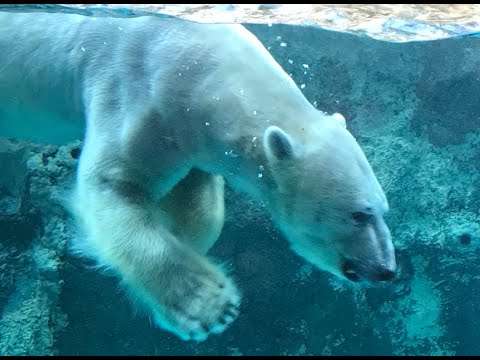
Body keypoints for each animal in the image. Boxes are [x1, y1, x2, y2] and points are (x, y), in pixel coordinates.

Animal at [0, 12, 398, 342]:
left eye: (384, 210)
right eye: (359, 214)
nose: (386, 270)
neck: (195, 71)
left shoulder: (186, 136)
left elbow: (198, 203)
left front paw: (184, 236)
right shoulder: (134, 95)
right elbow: (113, 185)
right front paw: (208, 305)